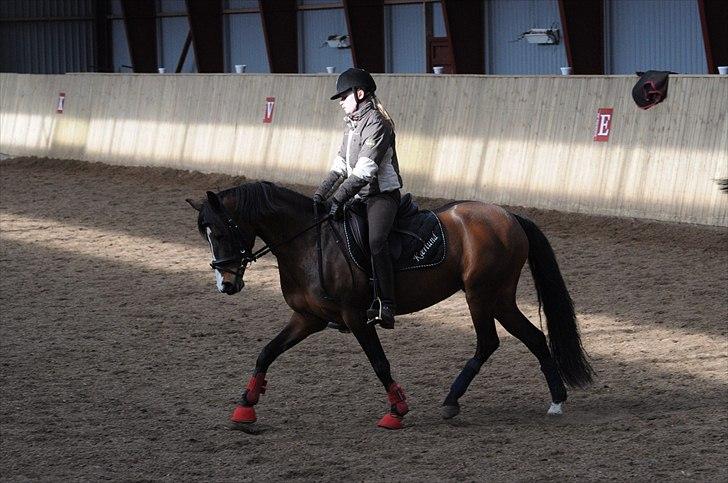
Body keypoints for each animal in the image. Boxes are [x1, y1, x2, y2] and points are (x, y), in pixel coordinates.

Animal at [186, 181, 593, 430]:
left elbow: (380, 363)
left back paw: (452, 400)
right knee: (534, 337)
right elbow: (267, 353)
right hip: (500, 297)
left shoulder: (355, 317)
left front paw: (397, 411)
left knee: (489, 342)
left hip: (481, 294)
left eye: (220, 232)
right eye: (205, 235)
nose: (226, 285)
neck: (310, 243)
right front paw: (246, 405)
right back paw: (556, 400)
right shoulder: (307, 318)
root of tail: (508, 216)